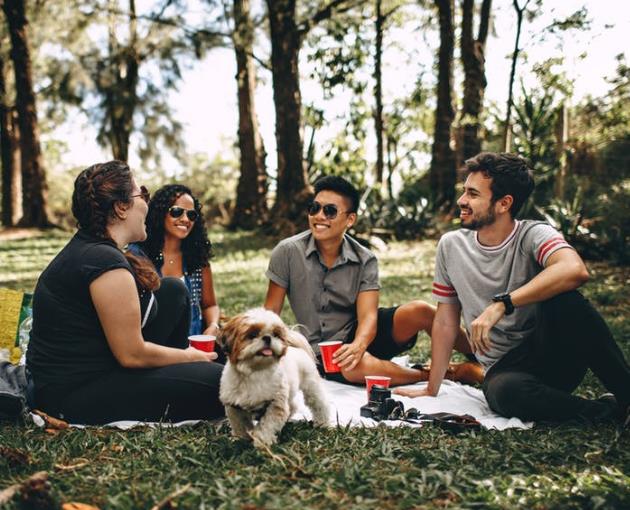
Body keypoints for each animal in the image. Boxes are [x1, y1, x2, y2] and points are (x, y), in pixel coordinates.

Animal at [220, 306, 334, 446]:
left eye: (275, 335)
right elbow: (240, 424)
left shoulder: (275, 404)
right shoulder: (234, 406)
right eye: (252, 335)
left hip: (311, 386)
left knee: (319, 404)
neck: (255, 372)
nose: (267, 338)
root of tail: (297, 348)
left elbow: (267, 425)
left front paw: (262, 442)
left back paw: (322, 423)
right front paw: (241, 439)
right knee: (292, 406)